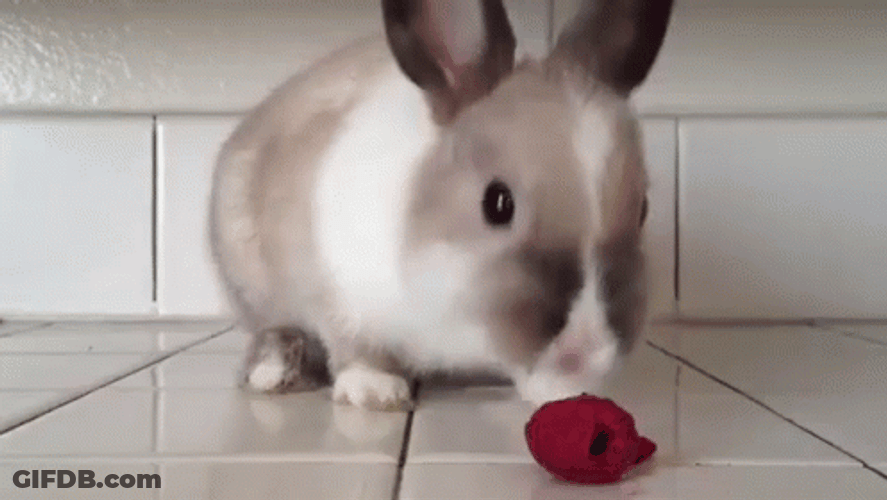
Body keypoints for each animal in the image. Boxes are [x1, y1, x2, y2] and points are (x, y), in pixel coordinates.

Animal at [208, 0, 673, 411]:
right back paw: (274, 373)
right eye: (497, 203)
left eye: (643, 208)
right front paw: (375, 391)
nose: (589, 349)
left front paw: (562, 394)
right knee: (275, 330)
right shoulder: (339, 295)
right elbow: (355, 349)